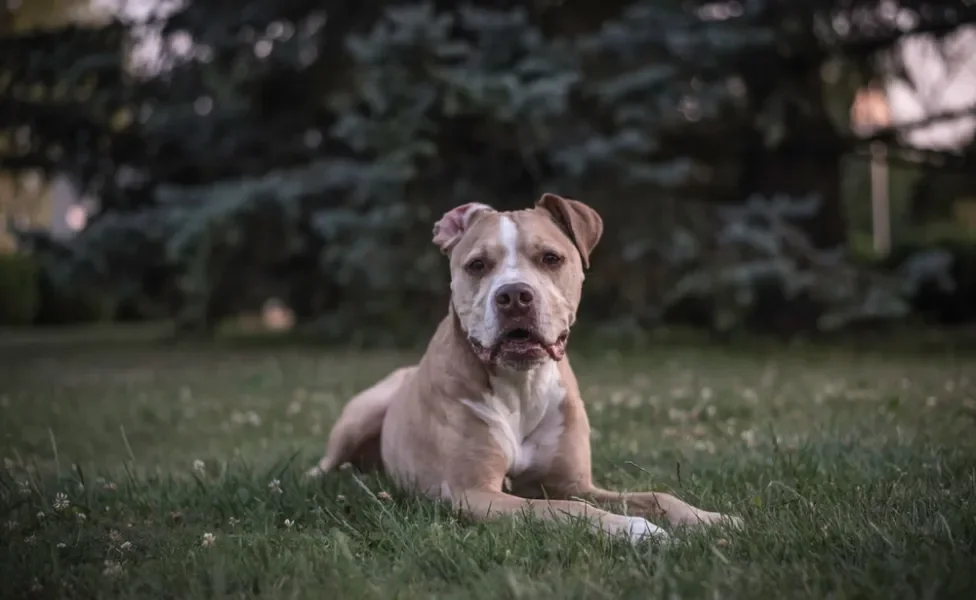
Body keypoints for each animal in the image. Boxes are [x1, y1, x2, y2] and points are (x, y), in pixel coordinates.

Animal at [306, 195, 740, 540]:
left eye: (551, 258)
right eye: (477, 265)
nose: (514, 295)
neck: (521, 384)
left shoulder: (573, 482)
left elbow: (655, 495)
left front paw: (712, 519)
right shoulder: (476, 494)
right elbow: (565, 509)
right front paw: (636, 529)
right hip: (364, 411)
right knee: (326, 464)